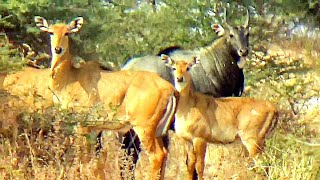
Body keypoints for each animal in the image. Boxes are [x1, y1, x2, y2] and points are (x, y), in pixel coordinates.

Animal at [35, 16, 180, 179]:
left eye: (67, 32)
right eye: (51, 32)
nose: (58, 49)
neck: (70, 77)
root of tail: (170, 88)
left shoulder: (83, 125)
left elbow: (83, 158)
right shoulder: (94, 130)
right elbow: (93, 161)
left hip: (144, 128)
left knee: (157, 155)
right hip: (159, 131)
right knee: (165, 154)